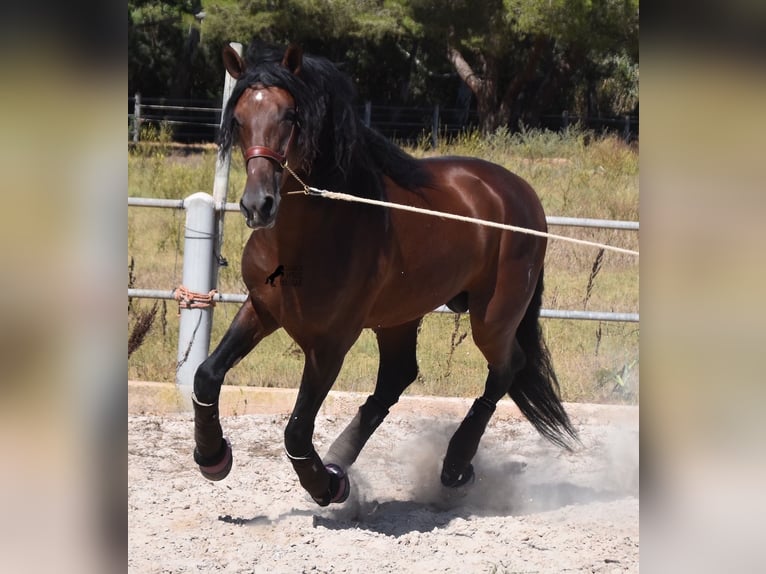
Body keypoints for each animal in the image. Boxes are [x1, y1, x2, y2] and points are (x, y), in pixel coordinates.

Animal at [194, 42, 584, 506]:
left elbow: (296, 430)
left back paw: (453, 466)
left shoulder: (331, 344)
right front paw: (213, 457)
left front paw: (326, 486)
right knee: (398, 377)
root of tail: (521, 193)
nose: (258, 205)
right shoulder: (261, 309)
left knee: (506, 369)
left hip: (493, 317)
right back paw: (343, 458)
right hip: (399, 317)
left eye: (290, 115)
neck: (311, 236)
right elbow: (207, 376)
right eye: (238, 120)